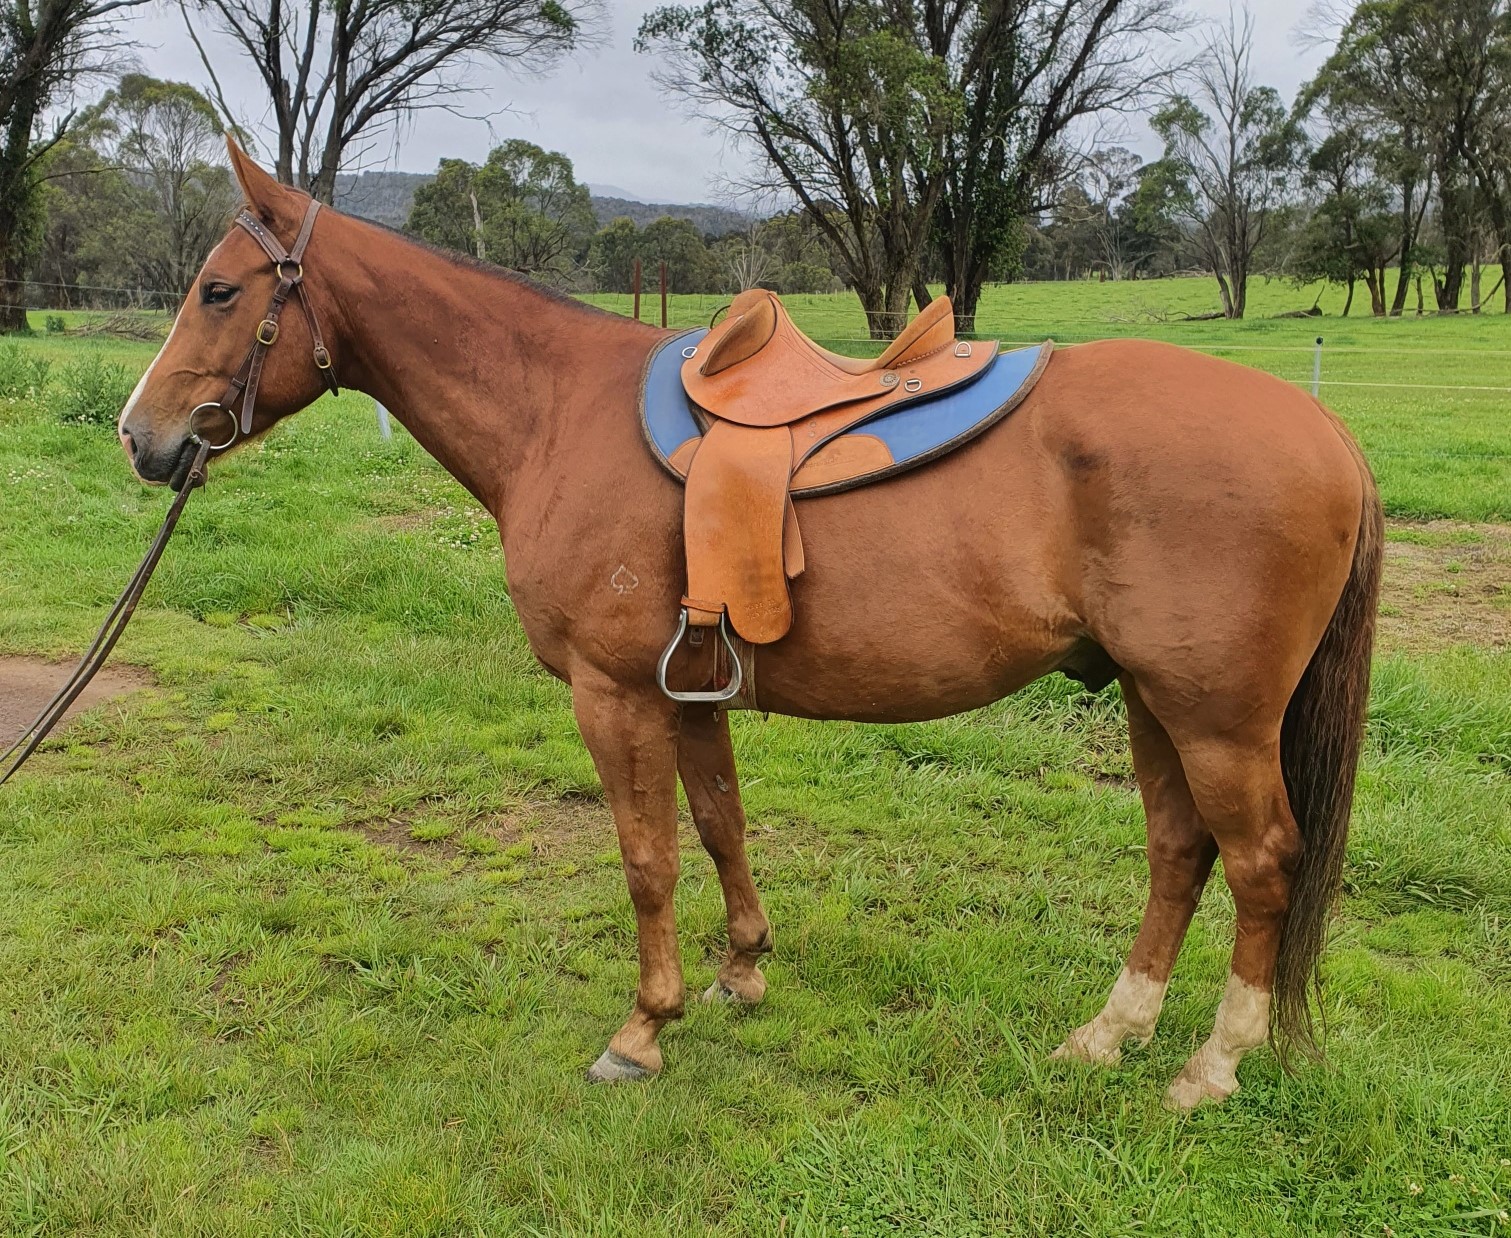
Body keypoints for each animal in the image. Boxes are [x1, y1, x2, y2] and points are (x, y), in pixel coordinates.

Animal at [116, 140, 1382, 1110]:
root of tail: (1325, 434)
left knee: (1260, 861)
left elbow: (646, 858)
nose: (141, 435)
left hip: (1214, 715)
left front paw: (642, 1028)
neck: (555, 411)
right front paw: (741, 974)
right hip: (1149, 697)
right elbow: (721, 825)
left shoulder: (612, 692)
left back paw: (1207, 1067)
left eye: (219, 291)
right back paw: (1107, 1033)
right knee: (1178, 850)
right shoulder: (688, 687)